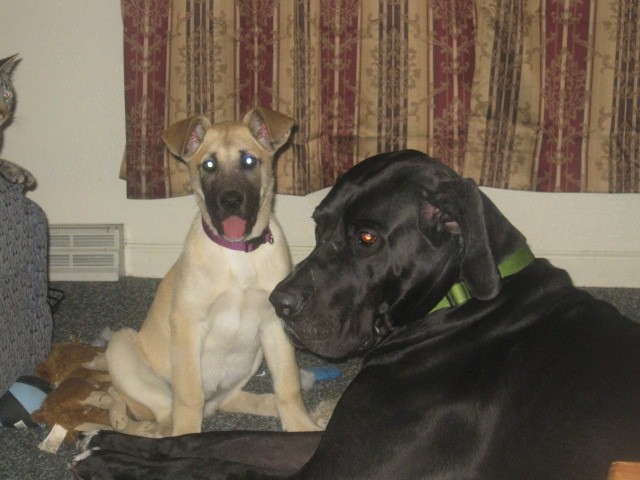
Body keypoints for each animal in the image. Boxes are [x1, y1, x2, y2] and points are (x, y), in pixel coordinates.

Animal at [72, 151, 640, 480]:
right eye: (317, 225)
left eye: (366, 238)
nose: (278, 304)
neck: (456, 306)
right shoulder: (332, 444)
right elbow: (213, 439)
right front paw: (114, 443)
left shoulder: (335, 472)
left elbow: (217, 468)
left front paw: (113, 463)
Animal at [104, 107, 320, 436]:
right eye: (208, 165)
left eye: (249, 161)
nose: (230, 201)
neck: (237, 253)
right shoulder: (188, 324)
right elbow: (189, 394)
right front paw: (185, 438)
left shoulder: (274, 322)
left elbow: (288, 383)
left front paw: (300, 425)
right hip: (121, 346)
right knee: (169, 412)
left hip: (251, 359)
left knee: (229, 399)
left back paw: (271, 405)